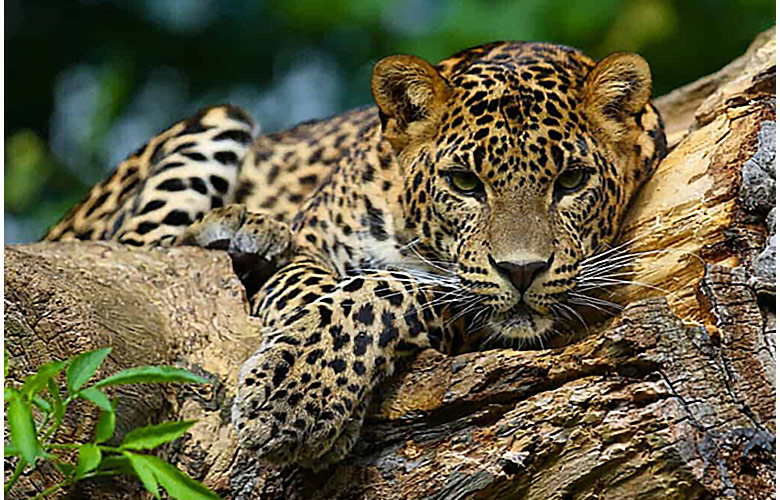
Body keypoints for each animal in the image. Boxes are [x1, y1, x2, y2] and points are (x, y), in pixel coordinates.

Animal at [44, 41, 667, 469]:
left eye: (572, 180)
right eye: (465, 183)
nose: (522, 270)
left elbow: (384, 290)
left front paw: (299, 396)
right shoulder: (312, 243)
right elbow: (323, 291)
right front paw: (296, 386)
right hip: (215, 123)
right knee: (133, 250)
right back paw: (239, 228)